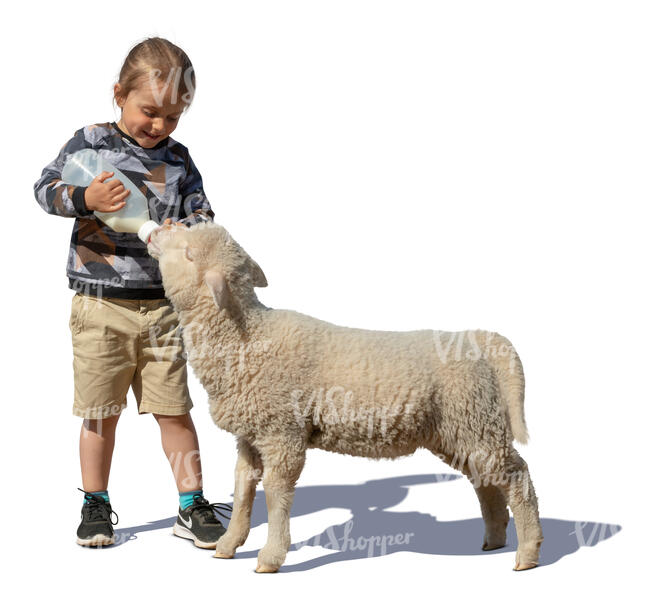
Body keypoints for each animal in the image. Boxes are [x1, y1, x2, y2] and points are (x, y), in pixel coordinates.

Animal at [147, 221, 540, 572]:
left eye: (188, 253)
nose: (156, 230)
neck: (247, 337)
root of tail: (479, 342)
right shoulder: (251, 435)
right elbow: (243, 488)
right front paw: (229, 545)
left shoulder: (282, 433)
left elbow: (275, 493)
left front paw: (270, 557)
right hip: (458, 430)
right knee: (485, 481)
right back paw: (494, 539)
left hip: (476, 422)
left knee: (516, 476)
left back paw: (528, 553)